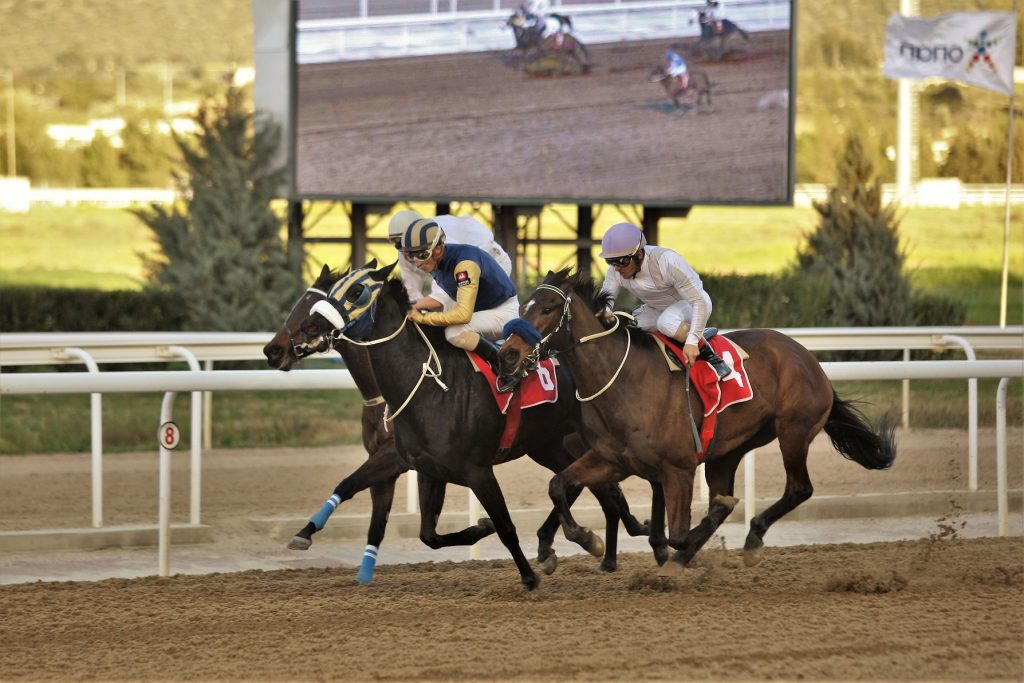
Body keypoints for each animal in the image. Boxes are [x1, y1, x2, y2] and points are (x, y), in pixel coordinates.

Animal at [286, 262, 655, 593]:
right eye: (329, 293)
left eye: (356, 292)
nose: (308, 328)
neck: (430, 386)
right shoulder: (427, 470)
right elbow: (427, 534)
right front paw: (482, 527)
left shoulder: (476, 470)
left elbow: (506, 526)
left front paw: (528, 577)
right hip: (549, 444)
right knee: (584, 486)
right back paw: (581, 547)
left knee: (595, 487)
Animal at [495, 270, 897, 573]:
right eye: (523, 306)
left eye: (548, 308)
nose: (508, 354)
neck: (623, 381)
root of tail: (810, 359)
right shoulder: (611, 459)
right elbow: (559, 485)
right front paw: (585, 541)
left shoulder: (679, 467)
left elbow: (675, 532)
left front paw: (670, 550)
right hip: (730, 449)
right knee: (725, 500)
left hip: (793, 431)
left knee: (798, 489)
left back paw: (750, 539)